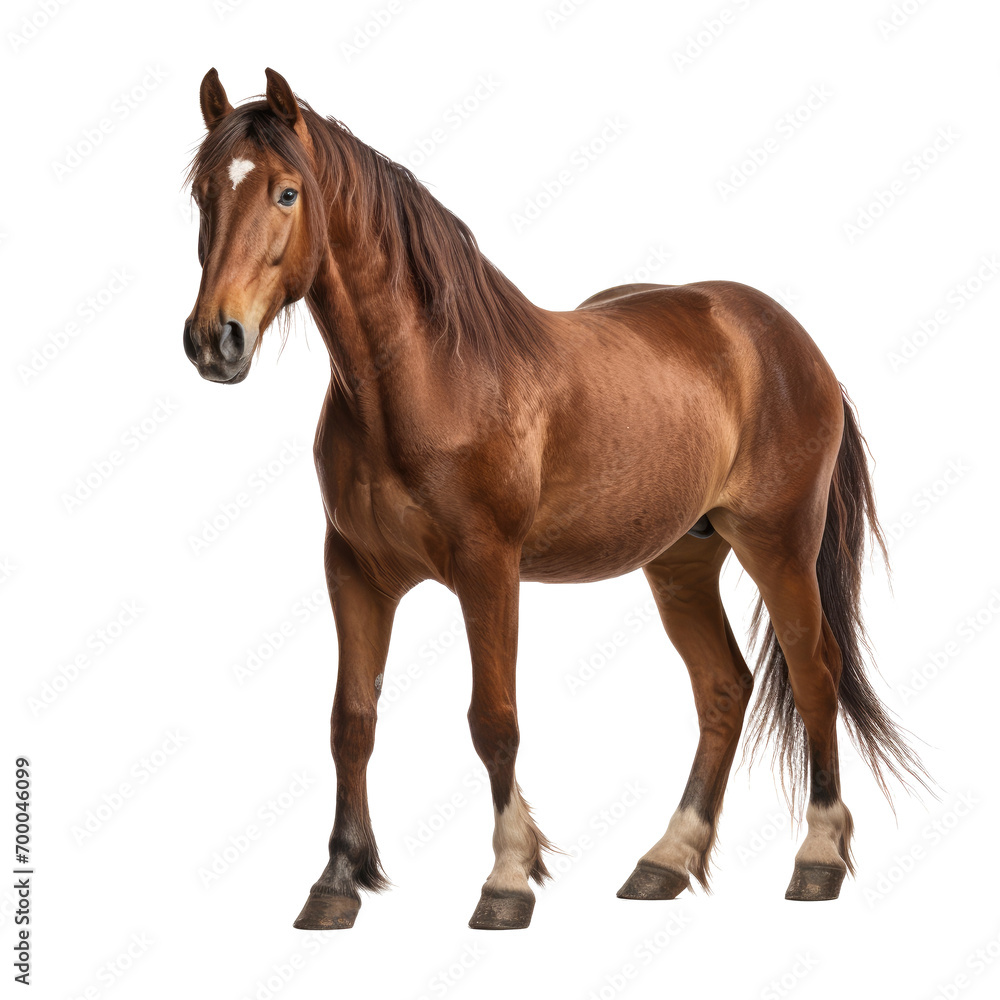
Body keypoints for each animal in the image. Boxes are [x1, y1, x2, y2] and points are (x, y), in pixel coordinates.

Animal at [182, 68, 929, 930]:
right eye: (204, 192)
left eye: (287, 192)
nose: (215, 340)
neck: (431, 378)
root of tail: (794, 343)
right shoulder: (355, 571)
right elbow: (351, 723)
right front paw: (337, 881)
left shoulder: (488, 569)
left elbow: (493, 722)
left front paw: (507, 879)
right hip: (682, 561)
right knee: (723, 688)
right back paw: (664, 862)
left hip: (778, 545)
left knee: (814, 672)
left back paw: (818, 859)